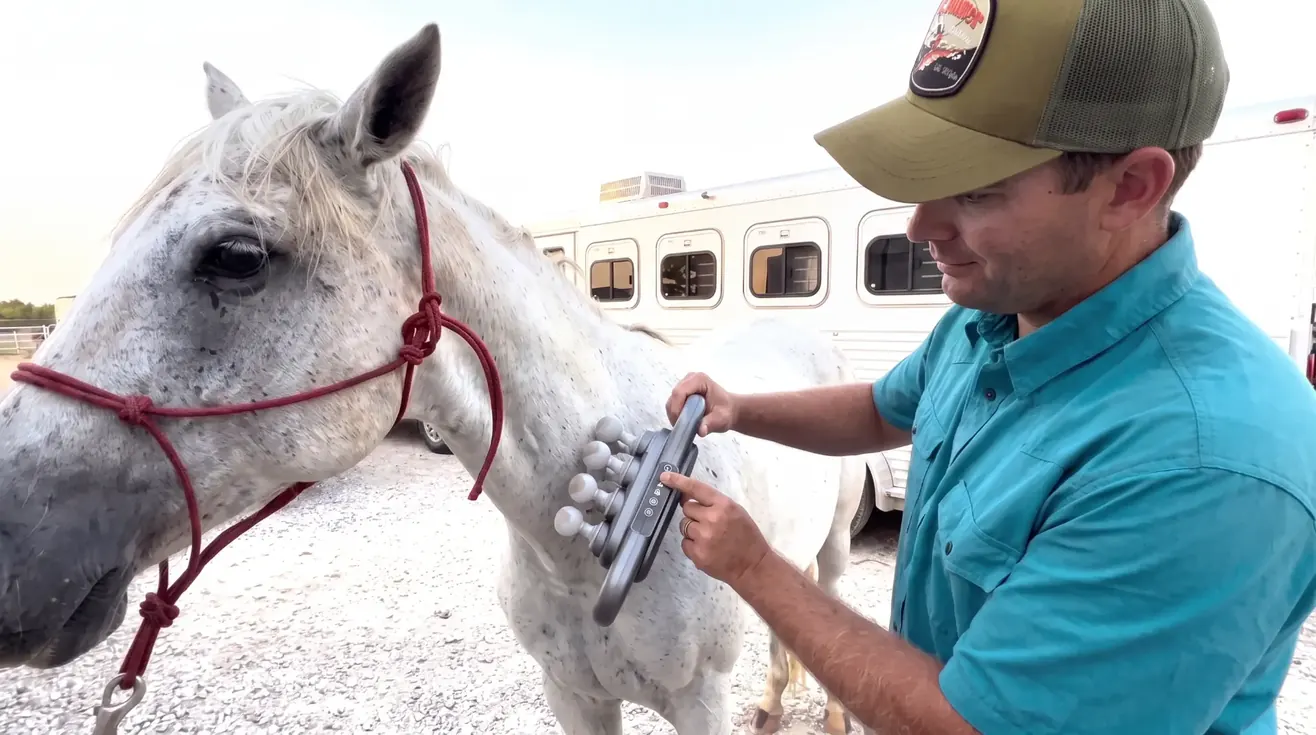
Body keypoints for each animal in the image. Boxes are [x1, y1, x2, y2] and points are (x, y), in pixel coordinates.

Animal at [0, 23, 869, 734]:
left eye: (236, 255)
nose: (12, 551)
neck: (571, 556)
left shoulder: (698, 702)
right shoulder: (573, 695)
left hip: (829, 546)